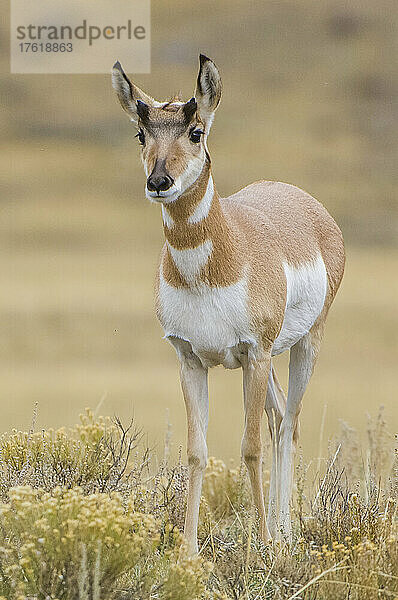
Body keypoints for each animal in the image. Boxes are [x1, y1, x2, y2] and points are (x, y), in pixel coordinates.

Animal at [112, 54, 346, 552]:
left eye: (195, 131)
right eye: (142, 133)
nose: (158, 181)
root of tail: (304, 201)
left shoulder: (253, 355)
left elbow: (250, 448)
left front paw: (261, 548)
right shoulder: (190, 360)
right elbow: (197, 452)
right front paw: (187, 550)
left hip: (301, 347)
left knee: (289, 423)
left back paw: (282, 535)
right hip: (271, 361)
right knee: (279, 419)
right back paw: (280, 529)